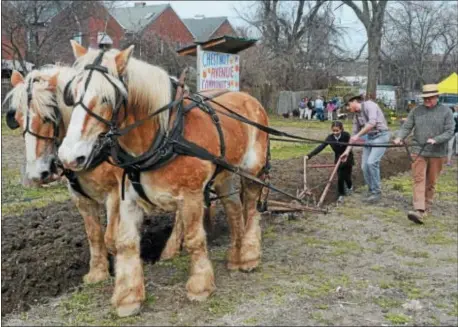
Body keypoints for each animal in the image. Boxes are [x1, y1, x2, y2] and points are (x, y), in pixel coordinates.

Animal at [59, 41, 270, 318]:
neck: (165, 135)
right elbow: (125, 242)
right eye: (71, 94)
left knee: (252, 209)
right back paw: (234, 257)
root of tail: (249, 98)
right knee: (234, 209)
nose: (69, 156)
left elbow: (194, 239)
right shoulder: (128, 199)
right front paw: (128, 297)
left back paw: (249, 256)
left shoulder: (191, 196)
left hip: (252, 171)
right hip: (224, 175)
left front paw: (200, 286)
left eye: (107, 97)